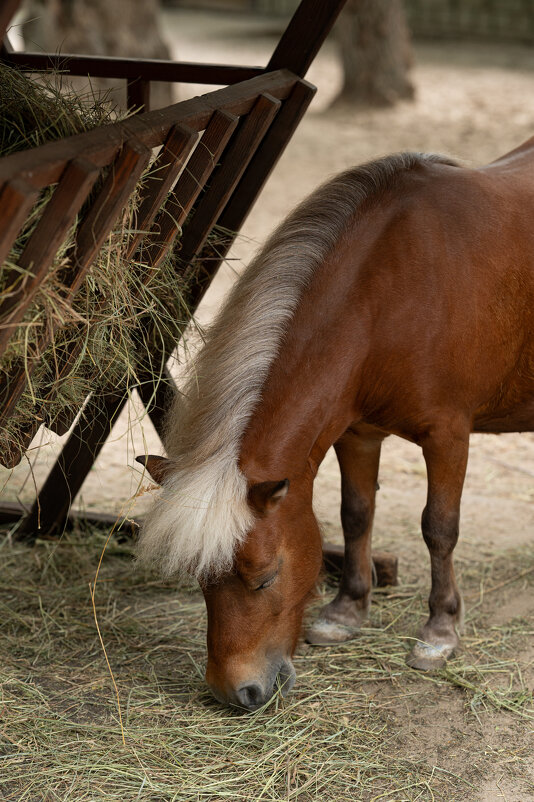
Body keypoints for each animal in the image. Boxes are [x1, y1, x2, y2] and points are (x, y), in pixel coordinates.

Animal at [136, 141, 534, 708]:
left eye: (265, 578)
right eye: (200, 581)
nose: (235, 692)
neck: (393, 294)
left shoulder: (448, 436)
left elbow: (439, 527)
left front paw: (439, 631)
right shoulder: (357, 434)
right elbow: (356, 515)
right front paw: (347, 611)